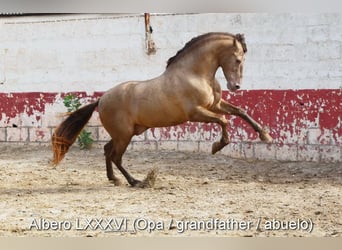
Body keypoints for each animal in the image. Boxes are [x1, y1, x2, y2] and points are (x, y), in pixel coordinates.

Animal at [52, 32, 274, 187]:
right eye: (238, 59)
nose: (235, 86)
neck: (194, 74)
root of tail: (101, 99)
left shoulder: (215, 105)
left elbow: (241, 112)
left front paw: (266, 136)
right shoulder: (196, 113)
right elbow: (224, 121)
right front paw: (217, 146)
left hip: (125, 133)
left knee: (108, 151)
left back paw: (114, 179)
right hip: (124, 135)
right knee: (115, 156)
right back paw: (136, 181)